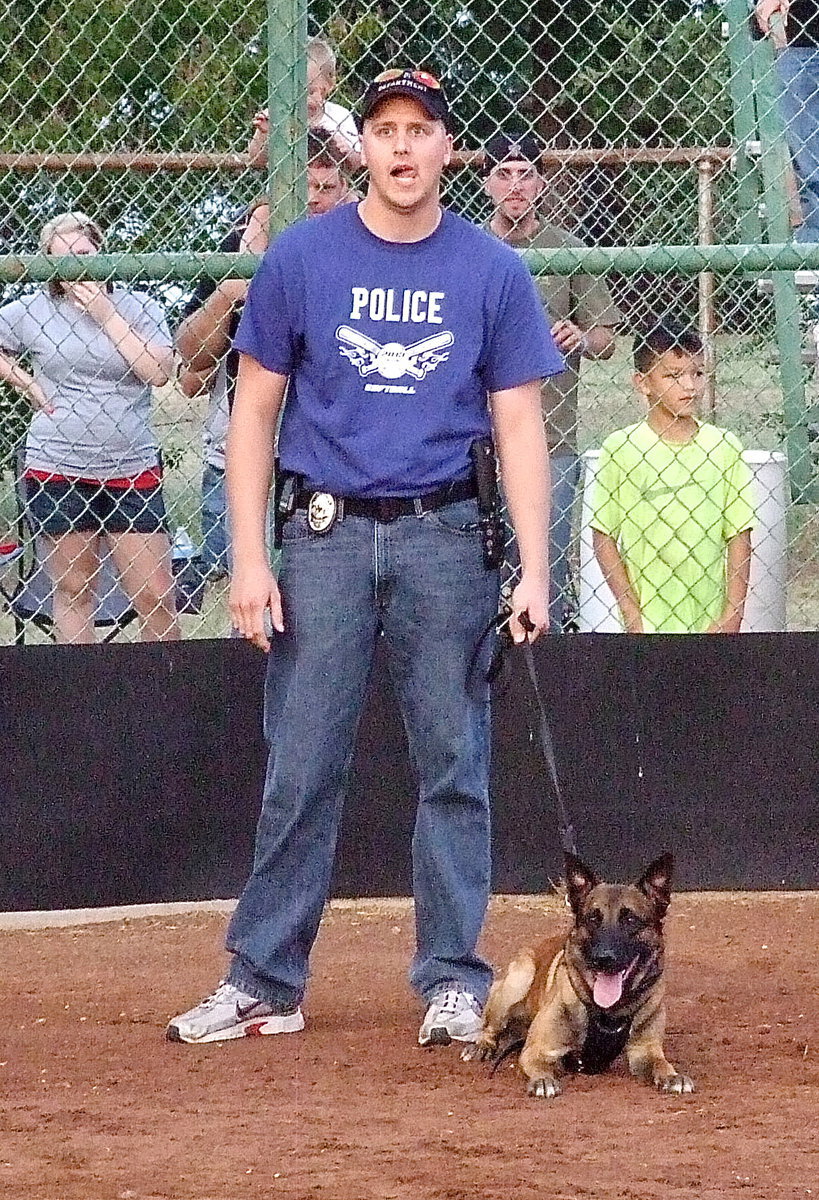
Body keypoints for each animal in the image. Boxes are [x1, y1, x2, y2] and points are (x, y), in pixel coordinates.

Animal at [463, 854, 691, 1099]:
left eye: (631, 920)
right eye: (592, 918)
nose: (604, 957)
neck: (609, 1012)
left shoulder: (645, 1051)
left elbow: (661, 1063)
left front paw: (672, 1076)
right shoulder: (537, 1051)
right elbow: (541, 1067)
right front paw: (543, 1080)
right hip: (518, 979)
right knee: (490, 1027)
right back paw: (482, 1046)